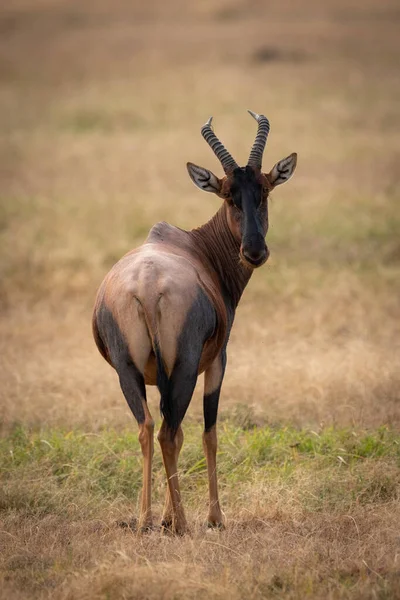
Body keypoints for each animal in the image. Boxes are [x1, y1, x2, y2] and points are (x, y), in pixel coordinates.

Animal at [92, 110, 296, 532]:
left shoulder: (156, 375)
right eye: (228, 194)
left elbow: (176, 427)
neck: (195, 245)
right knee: (168, 434)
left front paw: (165, 515)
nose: (254, 251)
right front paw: (214, 518)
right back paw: (183, 525)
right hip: (185, 366)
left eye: (264, 191)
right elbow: (208, 434)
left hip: (126, 369)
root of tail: (147, 286)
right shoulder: (217, 361)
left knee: (148, 428)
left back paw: (144, 520)